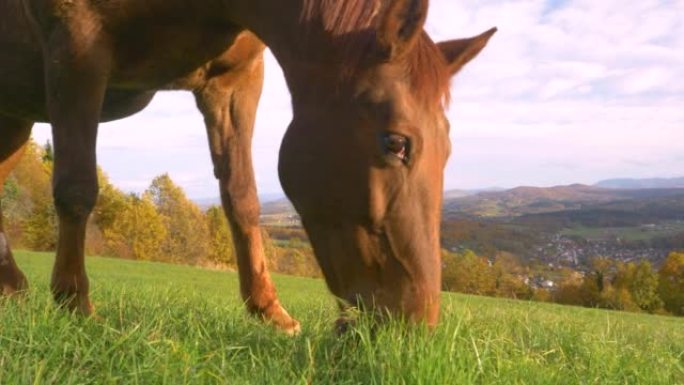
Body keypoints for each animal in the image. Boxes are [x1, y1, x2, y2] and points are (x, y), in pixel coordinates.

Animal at [0, 0, 492, 332]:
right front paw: (74, 304)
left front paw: (268, 310)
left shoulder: (234, 81)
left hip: (15, 119)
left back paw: (10, 284)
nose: (413, 326)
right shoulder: (76, 46)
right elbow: (77, 187)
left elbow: (242, 198)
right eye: (396, 143)